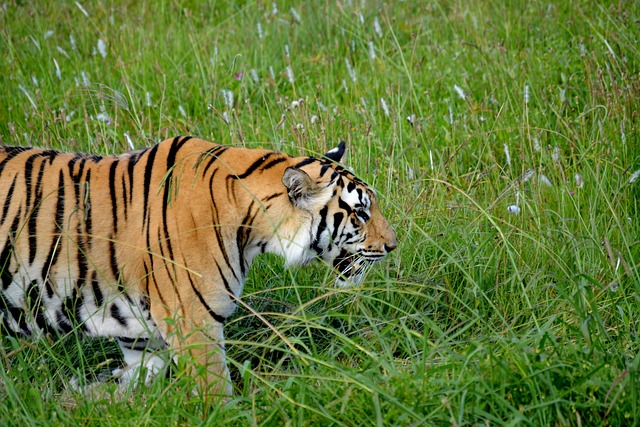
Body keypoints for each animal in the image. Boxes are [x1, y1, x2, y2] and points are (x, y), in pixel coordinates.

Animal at [0, 136, 396, 398]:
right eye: (361, 214)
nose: (393, 245)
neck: (253, 226)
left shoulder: (140, 335)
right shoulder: (194, 325)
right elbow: (217, 396)